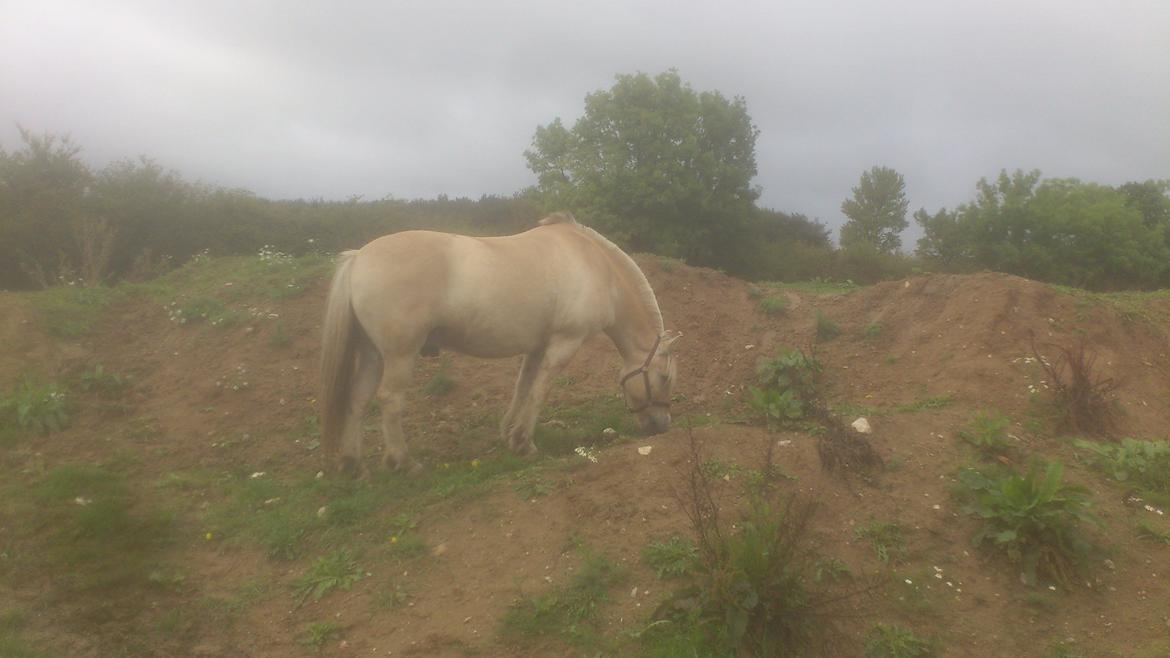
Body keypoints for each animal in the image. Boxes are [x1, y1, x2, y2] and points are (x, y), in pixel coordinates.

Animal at [320, 213, 683, 473]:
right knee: (390, 400)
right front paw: (525, 443)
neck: (594, 266)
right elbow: (540, 391)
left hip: (372, 353)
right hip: (399, 355)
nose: (662, 426)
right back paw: (405, 462)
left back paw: (353, 463)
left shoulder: (537, 346)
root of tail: (359, 257)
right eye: (665, 377)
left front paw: (510, 434)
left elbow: (522, 388)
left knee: (359, 398)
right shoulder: (564, 343)